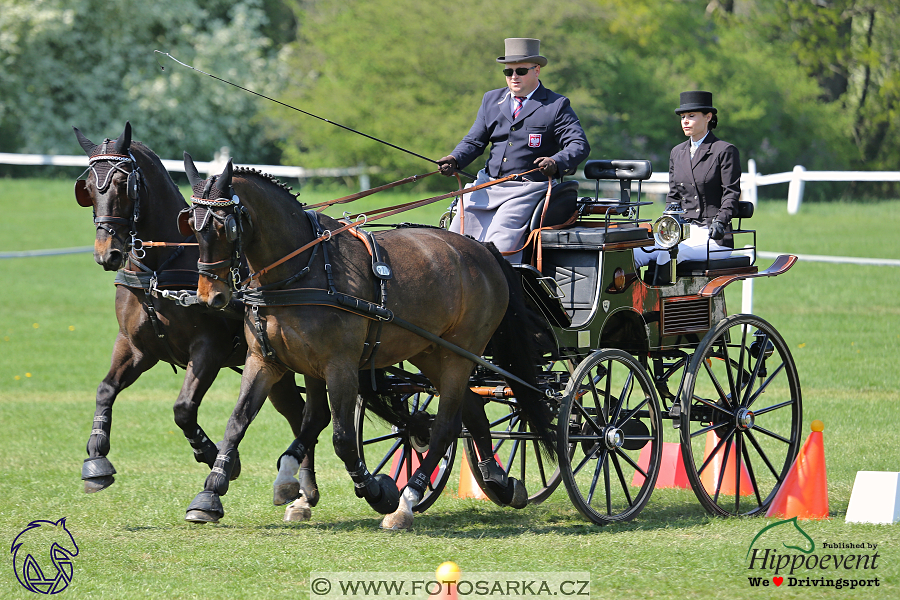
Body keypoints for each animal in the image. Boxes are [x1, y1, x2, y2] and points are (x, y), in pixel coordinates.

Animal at [74, 120, 320, 510]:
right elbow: (105, 389)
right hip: (277, 366)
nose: (106, 253)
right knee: (298, 414)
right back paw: (301, 488)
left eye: (123, 184)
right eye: (87, 190)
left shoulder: (209, 349)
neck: (160, 269)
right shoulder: (136, 347)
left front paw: (216, 458)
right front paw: (96, 459)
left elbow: (184, 408)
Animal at [178, 155, 552, 528]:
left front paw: (376, 490)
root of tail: (483, 249)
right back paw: (499, 482)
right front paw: (213, 493)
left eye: (226, 227)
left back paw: (407, 501)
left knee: (445, 426)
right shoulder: (269, 361)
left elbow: (342, 438)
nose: (211, 297)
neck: (303, 270)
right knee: (471, 412)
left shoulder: (340, 366)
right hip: (432, 352)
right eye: (192, 226)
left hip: (461, 355)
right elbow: (245, 422)